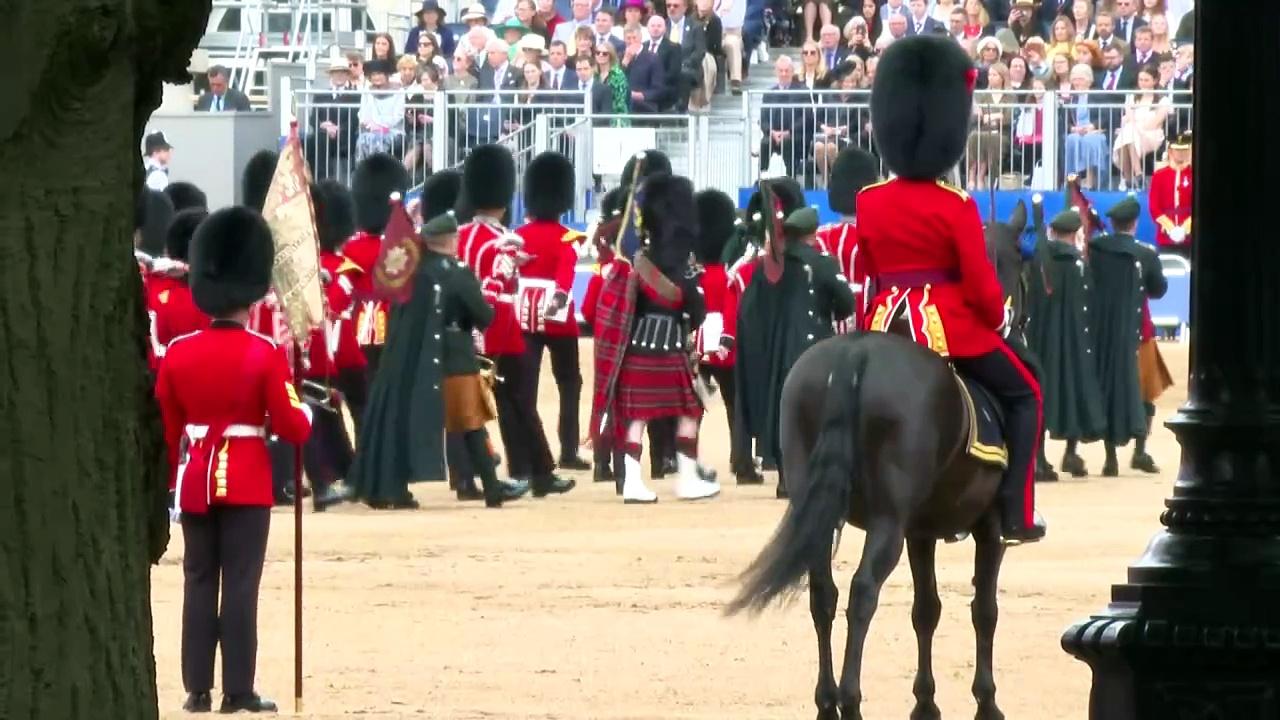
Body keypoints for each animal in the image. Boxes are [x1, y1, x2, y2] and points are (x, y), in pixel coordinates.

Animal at [727, 202, 1034, 717]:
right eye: (1023, 262)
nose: (1018, 323)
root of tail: (854, 356)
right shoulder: (988, 527)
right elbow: (984, 610)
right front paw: (986, 702)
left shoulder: (921, 530)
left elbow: (926, 609)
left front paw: (926, 703)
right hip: (887, 521)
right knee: (862, 591)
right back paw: (851, 699)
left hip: (822, 506)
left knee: (823, 593)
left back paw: (826, 700)